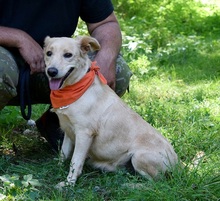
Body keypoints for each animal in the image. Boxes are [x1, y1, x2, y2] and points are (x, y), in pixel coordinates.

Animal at [43, 35, 179, 187]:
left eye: (68, 55)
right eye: (49, 53)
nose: (51, 71)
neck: (76, 88)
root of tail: (177, 163)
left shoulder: (84, 134)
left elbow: (75, 162)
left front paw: (69, 183)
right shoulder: (68, 130)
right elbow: (64, 154)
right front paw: (57, 168)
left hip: (140, 156)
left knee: (157, 184)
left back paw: (131, 186)